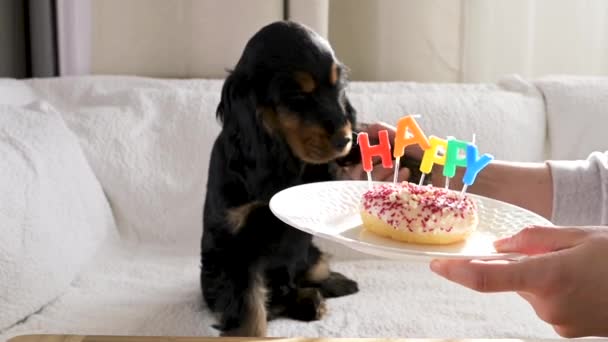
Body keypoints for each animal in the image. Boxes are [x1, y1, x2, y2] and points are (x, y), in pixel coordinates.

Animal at [200, 20, 364, 336]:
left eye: (339, 87)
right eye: (297, 96)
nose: (345, 139)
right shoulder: (237, 245)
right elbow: (249, 307)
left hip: (308, 257)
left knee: (313, 273)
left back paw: (333, 286)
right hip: (212, 276)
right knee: (276, 300)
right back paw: (310, 302)